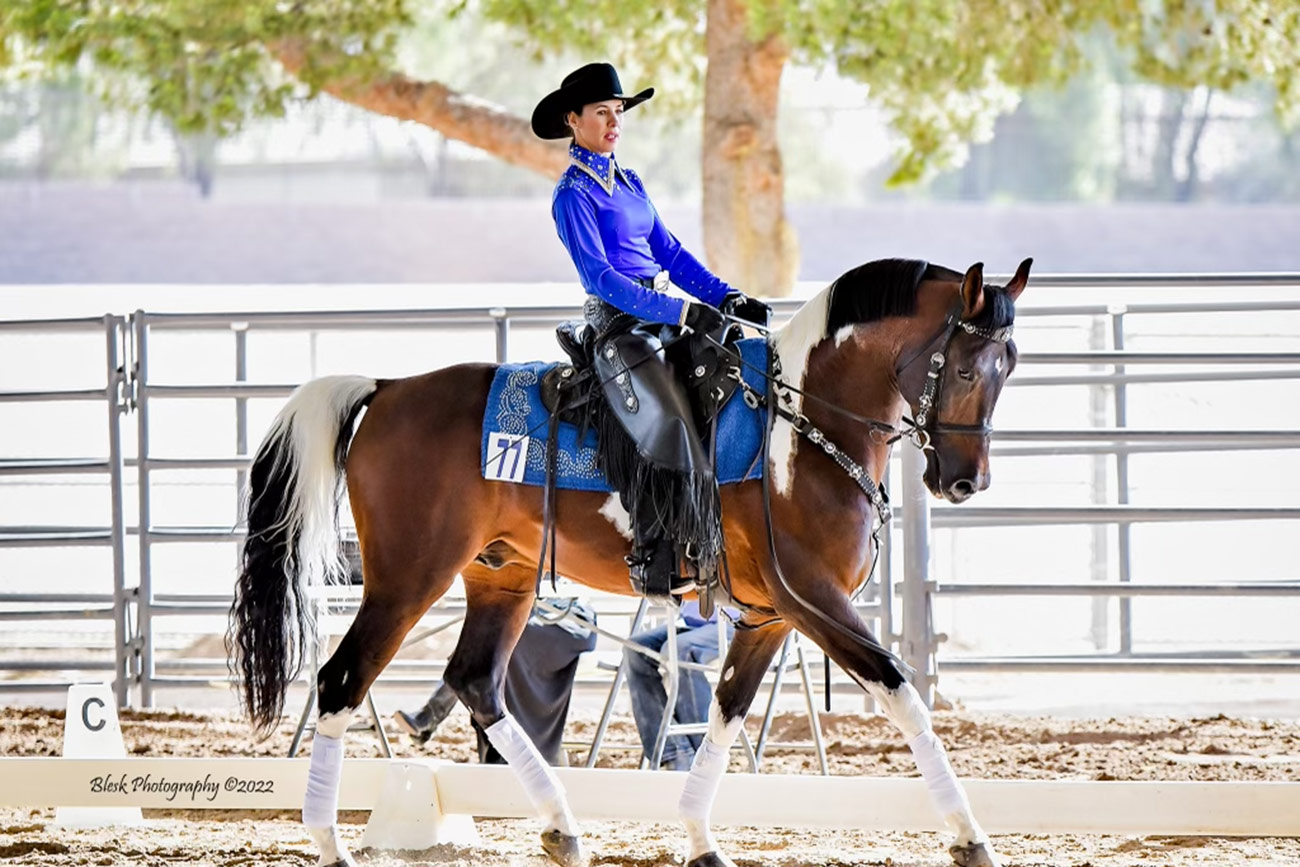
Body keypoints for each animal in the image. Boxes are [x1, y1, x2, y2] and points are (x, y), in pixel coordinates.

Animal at [228, 256, 1029, 867]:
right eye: (964, 370)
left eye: (1009, 367)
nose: (966, 481)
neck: (801, 428)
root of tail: (389, 390)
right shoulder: (815, 600)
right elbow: (901, 690)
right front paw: (970, 837)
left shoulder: (770, 617)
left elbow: (726, 714)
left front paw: (701, 839)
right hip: (405, 579)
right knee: (341, 681)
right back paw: (331, 844)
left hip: (501, 576)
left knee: (477, 681)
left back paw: (561, 827)